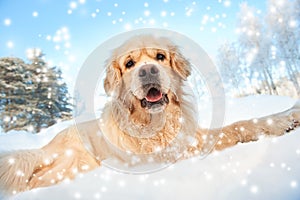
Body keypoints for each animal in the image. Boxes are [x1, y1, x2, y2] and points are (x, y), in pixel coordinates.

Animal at [1, 34, 300, 195]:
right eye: (129, 63)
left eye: (160, 57)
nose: (147, 71)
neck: (156, 121)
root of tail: (45, 147)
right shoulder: (175, 152)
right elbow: (237, 126)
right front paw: (283, 120)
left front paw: (290, 112)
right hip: (77, 162)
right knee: (35, 181)